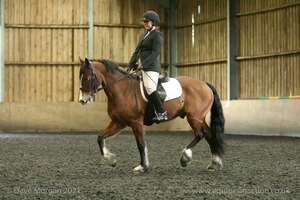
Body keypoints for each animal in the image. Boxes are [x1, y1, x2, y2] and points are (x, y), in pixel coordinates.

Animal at [78, 57, 225, 173]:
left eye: (86, 78)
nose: (82, 100)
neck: (122, 90)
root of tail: (204, 84)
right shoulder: (118, 123)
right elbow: (100, 137)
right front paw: (111, 160)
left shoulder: (136, 122)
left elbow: (141, 144)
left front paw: (143, 167)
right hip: (199, 118)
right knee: (209, 134)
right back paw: (214, 162)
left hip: (194, 117)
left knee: (200, 134)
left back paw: (185, 158)